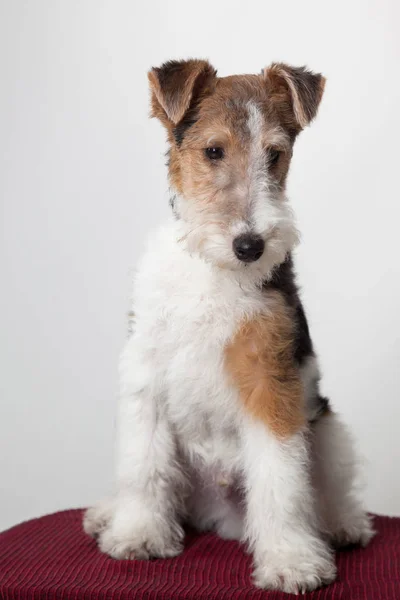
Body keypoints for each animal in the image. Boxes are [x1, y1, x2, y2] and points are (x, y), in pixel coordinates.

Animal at [84, 58, 376, 592]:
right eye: (213, 150)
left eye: (276, 154)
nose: (250, 246)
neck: (212, 268)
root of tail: (217, 514)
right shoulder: (145, 373)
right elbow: (142, 466)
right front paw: (137, 534)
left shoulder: (269, 378)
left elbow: (281, 479)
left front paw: (291, 561)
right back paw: (107, 514)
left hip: (326, 428)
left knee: (328, 489)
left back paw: (344, 525)